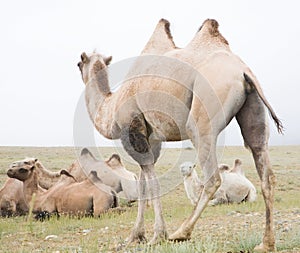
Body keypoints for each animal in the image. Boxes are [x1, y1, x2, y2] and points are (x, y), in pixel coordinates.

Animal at [78, 18, 284, 252]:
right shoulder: (151, 137)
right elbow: (142, 183)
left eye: (78, 63)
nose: (78, 67)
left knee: (212, 177)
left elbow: (152, 181)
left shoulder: (133, 129)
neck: (111, 106)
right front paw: (136, 235)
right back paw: (266, 243)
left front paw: (158, 235)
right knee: (264, 168)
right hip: (254, 108)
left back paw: (181, 232)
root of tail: (242, 71)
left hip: (202, 116)